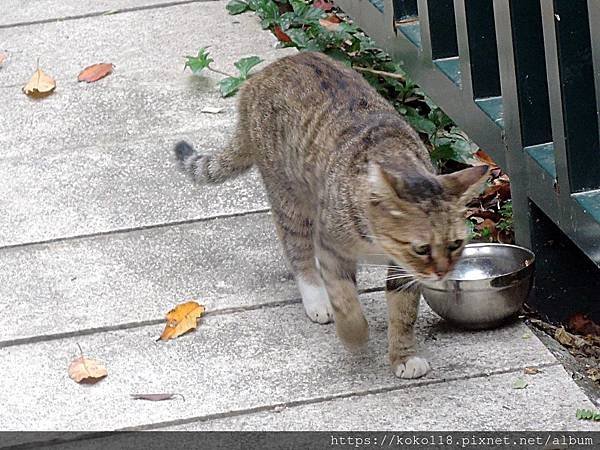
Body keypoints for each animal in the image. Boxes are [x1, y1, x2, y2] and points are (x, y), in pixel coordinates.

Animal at [173, 51, 488, 380]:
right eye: (422, 248)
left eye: (455, 244)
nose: (441, 273)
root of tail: (259, 77)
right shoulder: (332, 247)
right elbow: (344, 299)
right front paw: (354, 335)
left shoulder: (404, 271)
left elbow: (403, 313)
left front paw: (403, 356)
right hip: (290, 200)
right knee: (297, 251)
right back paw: (316, 298)